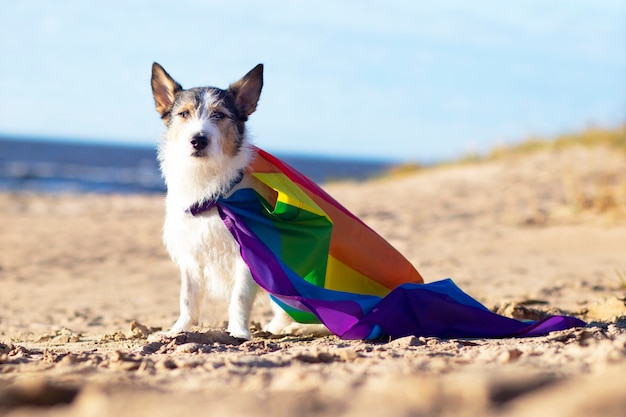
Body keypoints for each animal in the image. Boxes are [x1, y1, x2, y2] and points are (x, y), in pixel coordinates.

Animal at [148, 63, 320, 340]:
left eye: (219, 115)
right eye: (184, 114)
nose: (198, 139)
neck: (210, 190)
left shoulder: (250, 255)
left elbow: (239, 298)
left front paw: (238, 333)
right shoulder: (190, 256)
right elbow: (187, 300)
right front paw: (177, 330)